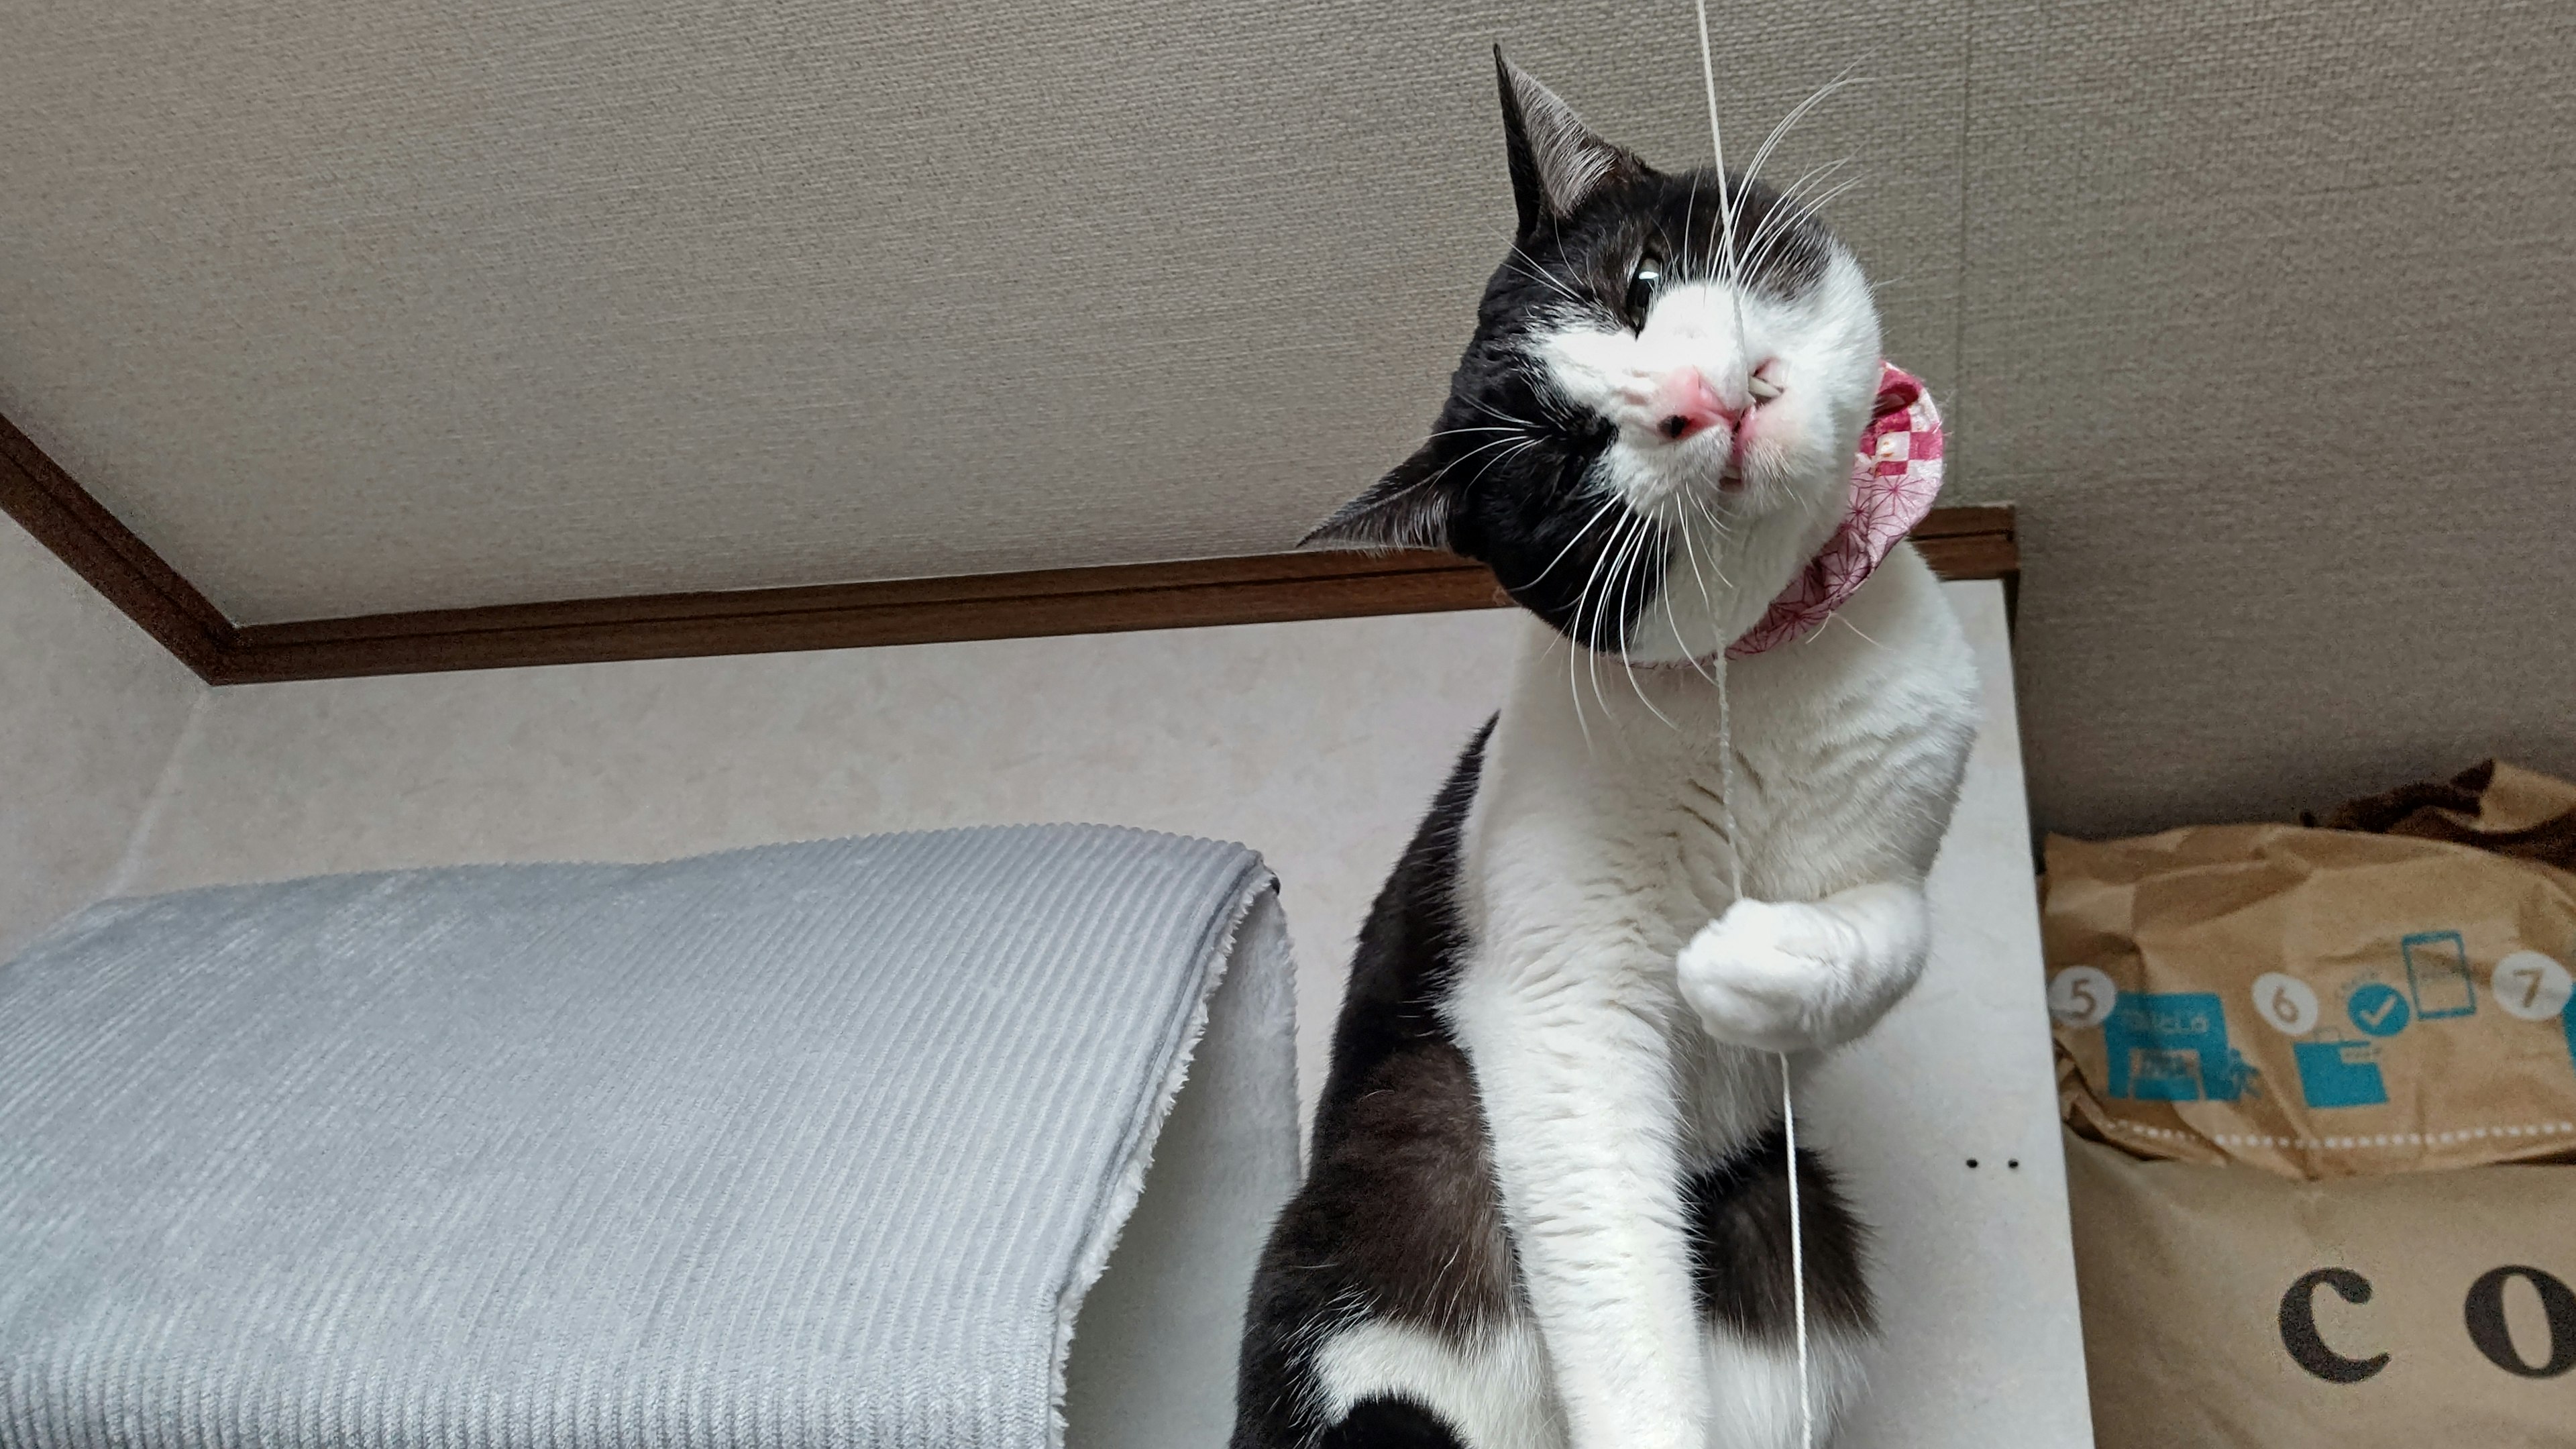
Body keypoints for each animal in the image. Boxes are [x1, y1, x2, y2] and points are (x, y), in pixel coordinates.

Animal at [1226, 56, 1968, 1444]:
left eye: (1640, 285)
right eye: (1564, 457)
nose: (1686, 403)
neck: (1754, 678)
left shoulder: (1911, 791)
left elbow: (1896, 931)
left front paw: (1751, 963)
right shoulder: (1551, 996)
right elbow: (1609, 1253)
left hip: (1786, 1229)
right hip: (1393, 1203)